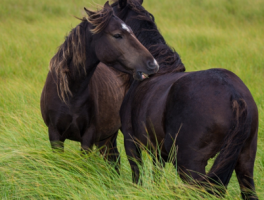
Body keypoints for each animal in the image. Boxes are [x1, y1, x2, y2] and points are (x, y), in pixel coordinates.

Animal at [111, 0, 258, 198]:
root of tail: (234, 95)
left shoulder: (130, 142)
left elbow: (137, 177)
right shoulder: (158, 152)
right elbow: (156, 176)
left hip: (189, 164)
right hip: (244, 160)